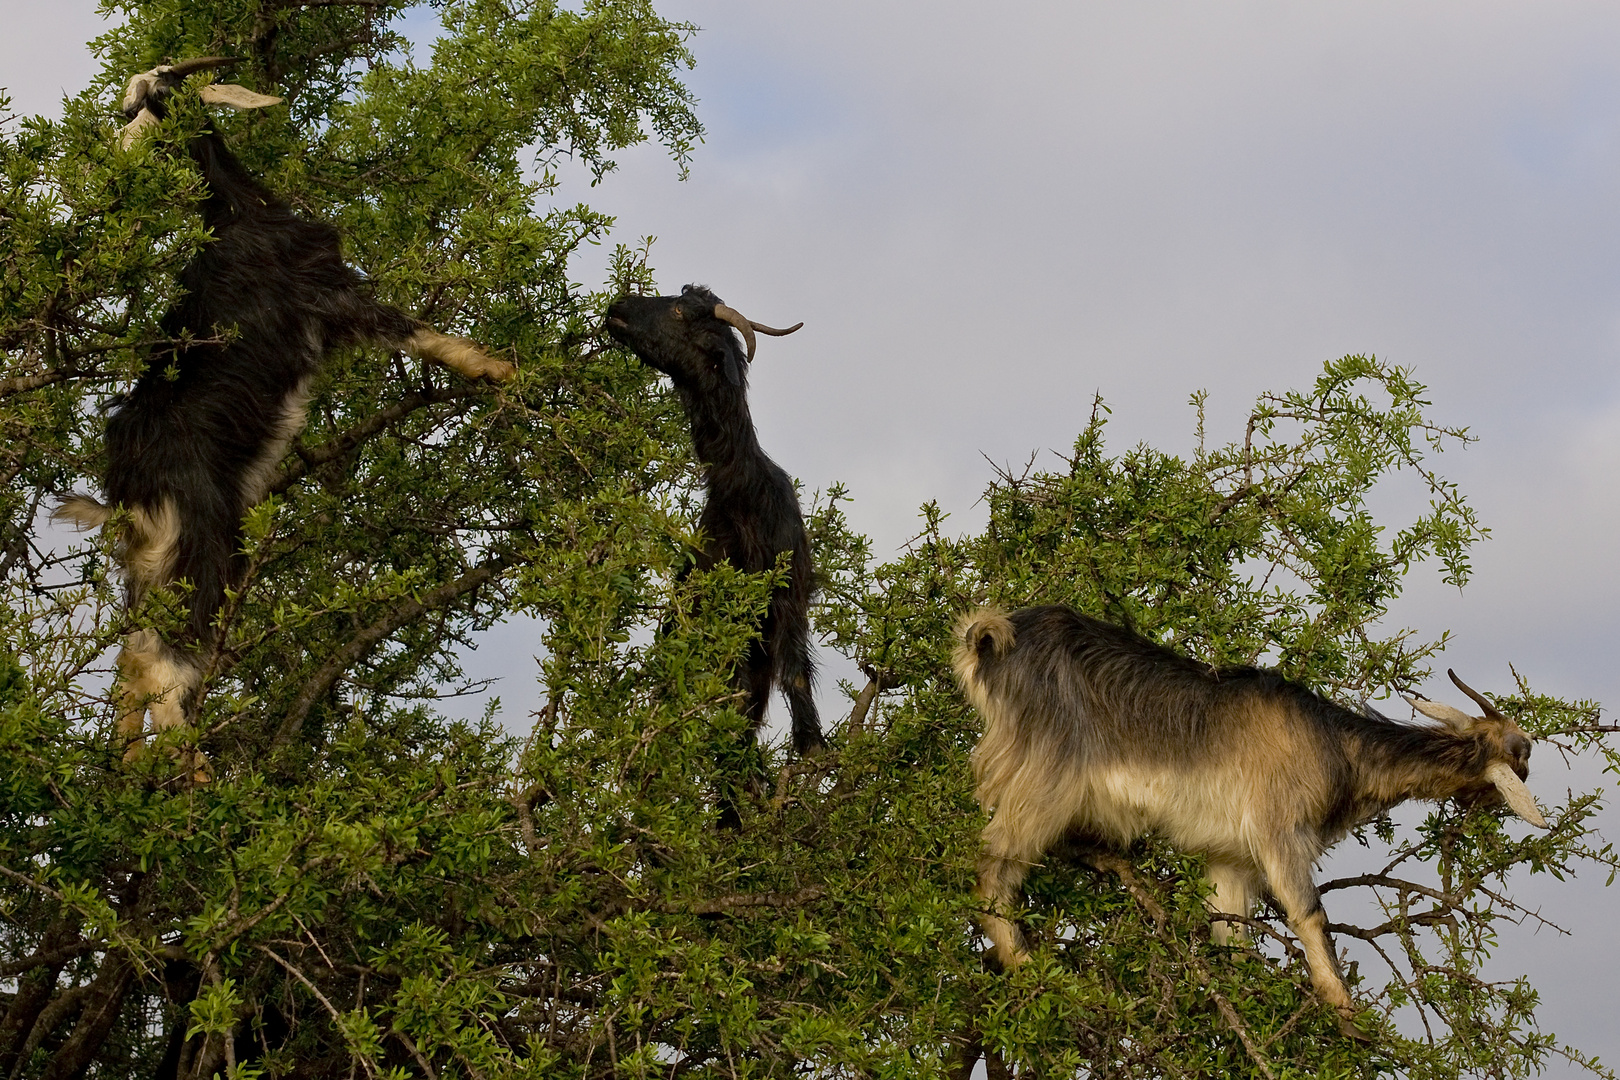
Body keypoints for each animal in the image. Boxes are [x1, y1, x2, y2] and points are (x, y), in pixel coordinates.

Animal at [58, 59, 511, 777]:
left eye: (146, 104)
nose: (114, 154)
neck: (238, 213)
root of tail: (128, 489)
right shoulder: (333, 296)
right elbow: (419, 332)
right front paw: (500, 371)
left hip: (151, 563)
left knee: (133, 657)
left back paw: (132, 768)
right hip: (204, 546)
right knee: (165, 665)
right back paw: (204, 782)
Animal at [602, 286, 822, 761]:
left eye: (680, 310)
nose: (618, 306)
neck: (743, 494)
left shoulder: (787, 603)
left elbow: (796, 678)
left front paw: (814, 748)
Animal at [952, 608, 1548, 1036]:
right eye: (1518, 754)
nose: (1529, 750)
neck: (1336, 745)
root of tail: (991, 640)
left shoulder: (1231, 859)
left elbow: (1233, 936)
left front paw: (1243, 1005)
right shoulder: (1279, 830)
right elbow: (1310, 913)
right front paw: (1347, 1015)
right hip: (1043, 777)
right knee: (990, 864)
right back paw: (1025, 964)